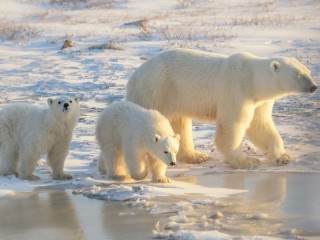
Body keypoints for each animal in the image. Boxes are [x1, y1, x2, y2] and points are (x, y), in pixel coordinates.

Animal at [125, 48, 318, 169]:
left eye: (308, 71)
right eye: (299, 74)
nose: (314, 86)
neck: (253, 78)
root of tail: (135, 74)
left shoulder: (259, 101)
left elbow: (260, 126)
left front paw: (282, 157)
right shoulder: (236, 89)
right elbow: (233, 125)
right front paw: (247, 161)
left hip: (173, 97)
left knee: (179, 123)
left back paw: (196, 156)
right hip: (154, 91)